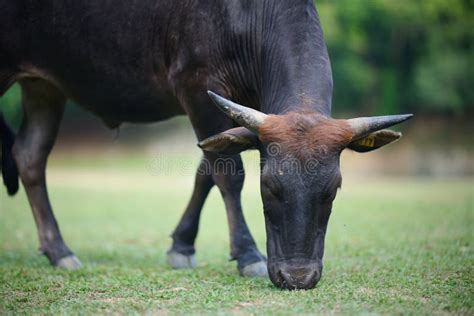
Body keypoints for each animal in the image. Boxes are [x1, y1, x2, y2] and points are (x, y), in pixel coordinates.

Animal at [0, 0, 412, 288]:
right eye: (269, 187)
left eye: (333, 190)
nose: (298, 277)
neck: (247, 16)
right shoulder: (198, 90)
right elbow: (228, 174)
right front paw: (247, 254)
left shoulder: (241, 110)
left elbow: (207, 169)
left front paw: (181, 246)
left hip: (43, 87)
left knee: (30, 155)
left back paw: (59, 251)